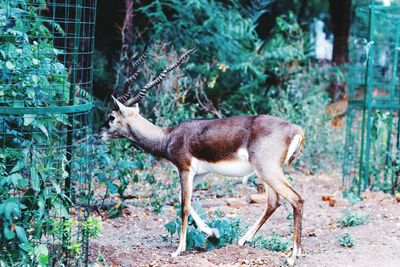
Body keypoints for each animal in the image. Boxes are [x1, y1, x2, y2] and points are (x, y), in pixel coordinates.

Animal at [101, 46, 306, 266]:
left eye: (111, 117)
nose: (99, 134)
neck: (169, 136)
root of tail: (296, 130)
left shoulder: (184, 169)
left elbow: (183, 205)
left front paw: (178, 250)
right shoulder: (200, 173)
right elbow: (185, 199)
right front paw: (213, 233)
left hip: (268, 172)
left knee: (296, 199)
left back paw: (292, 256)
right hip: (266, 174)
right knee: (274, 202)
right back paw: (243, 240)